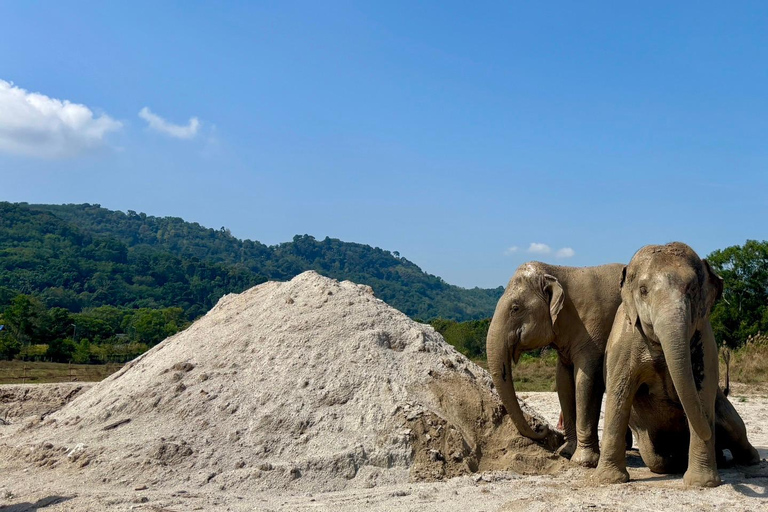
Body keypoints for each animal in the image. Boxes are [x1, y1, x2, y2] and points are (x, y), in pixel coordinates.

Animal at [487, 261, 624, 467]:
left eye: (515, 308)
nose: (542, 427)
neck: (558, 270)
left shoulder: (595, 328)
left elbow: (586, 381)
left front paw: (583, 462)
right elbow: (563, 382)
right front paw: (565, 452)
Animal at [593, 242, 760, 487]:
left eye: (691, 289)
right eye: (643, 290)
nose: (711, 435)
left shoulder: (705, 339)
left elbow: (703, 392)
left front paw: (701, 483)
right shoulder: (622, 341)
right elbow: (619, 392)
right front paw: (610, 480)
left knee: (735, 426)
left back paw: (745, 460)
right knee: (657, 459)